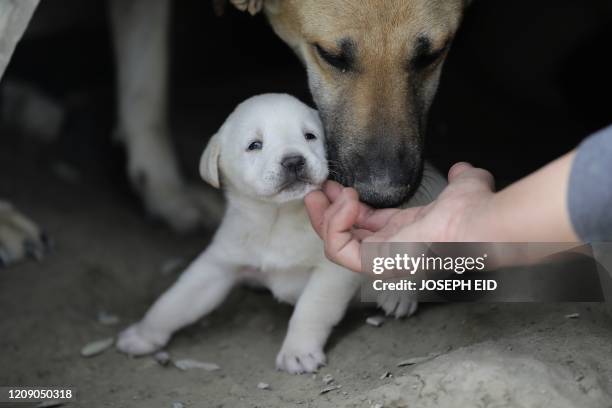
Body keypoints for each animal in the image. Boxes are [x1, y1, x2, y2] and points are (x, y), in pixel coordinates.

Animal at [117, 92, 444, 372]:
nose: (294, 160)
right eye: (255, 145)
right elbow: (176, 301)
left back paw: (398, 293)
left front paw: (298, 352)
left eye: (309, 136)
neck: (278, 219)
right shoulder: (219, 265)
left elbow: (310, 309)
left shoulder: (333, 270)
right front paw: (143, 334)